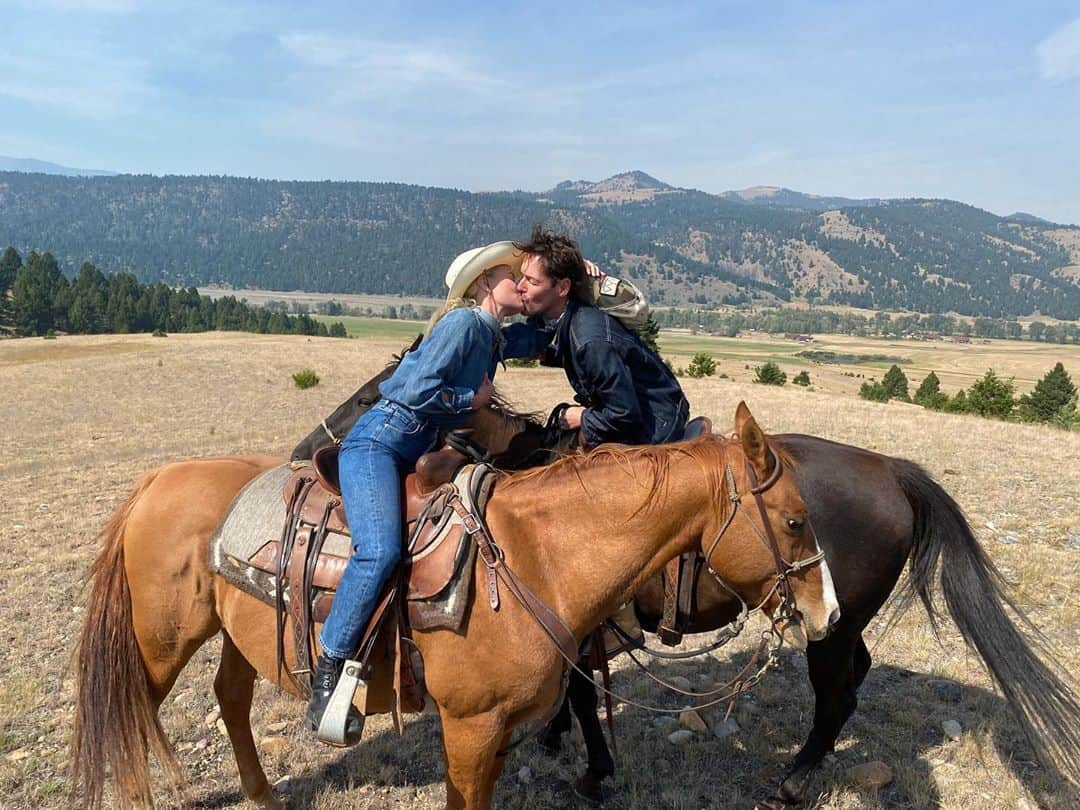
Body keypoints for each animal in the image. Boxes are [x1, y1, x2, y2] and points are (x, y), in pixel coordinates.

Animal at [71, 403, 838, 807]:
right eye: (795, 520)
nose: (827, 614)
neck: (538, 557)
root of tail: (158, 479)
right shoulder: (469, 727)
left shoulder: (493, 733)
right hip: (161, 641)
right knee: (134, 707)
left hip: (234, 631)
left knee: (230, 697)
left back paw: (262, 794)